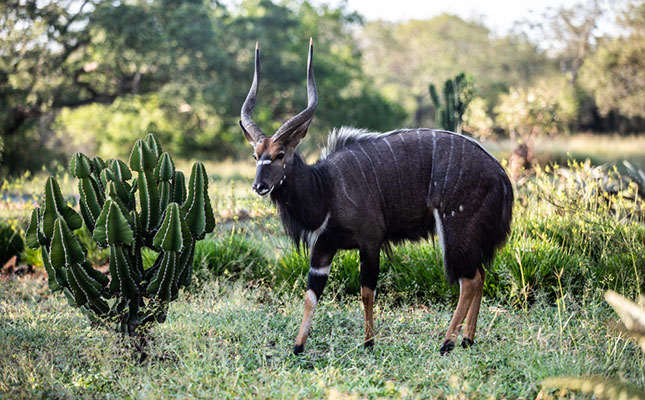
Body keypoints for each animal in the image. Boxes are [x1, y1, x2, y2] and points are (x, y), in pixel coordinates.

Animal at [238, 39, 512, 354]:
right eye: (255, 155)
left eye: (280, 154)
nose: (259, 186)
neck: (325, 189)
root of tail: (501, 175)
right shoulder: (323, 247)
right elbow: (311, 294)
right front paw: (298, 346)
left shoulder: (370, 241)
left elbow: (366, 291)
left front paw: (369, 342)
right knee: (480, 275)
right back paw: (468, 339)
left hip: (456, 229)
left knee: (468, 279)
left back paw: (446, 342)